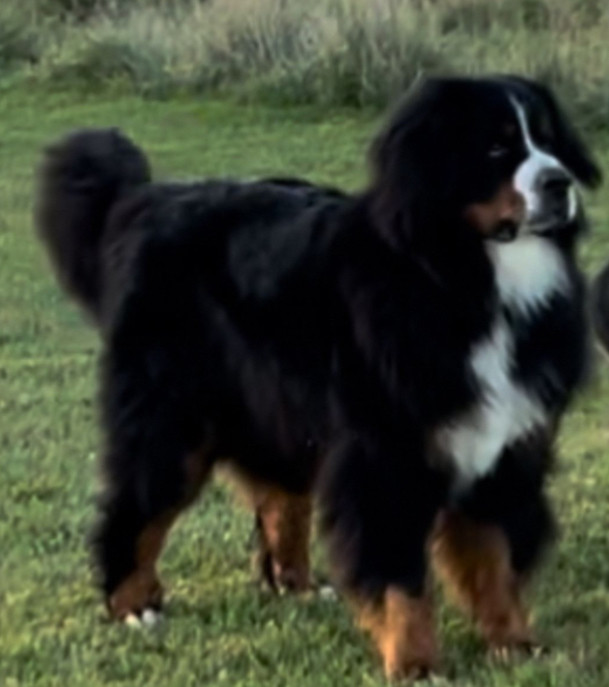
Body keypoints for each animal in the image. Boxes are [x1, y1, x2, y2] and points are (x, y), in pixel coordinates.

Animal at [36, 76, 600, 684]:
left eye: (549, 141)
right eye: (496, 147)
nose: (559, 183)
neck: (467, 278)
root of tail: (144, 200)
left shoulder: (504, 448)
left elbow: (493, 557)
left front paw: (514, 644)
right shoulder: (386, 456)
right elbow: (400, 577)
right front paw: (416, 661)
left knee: (279, 499)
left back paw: (296, 586)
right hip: (173, 418)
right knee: (136, 506)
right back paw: (133, 604)